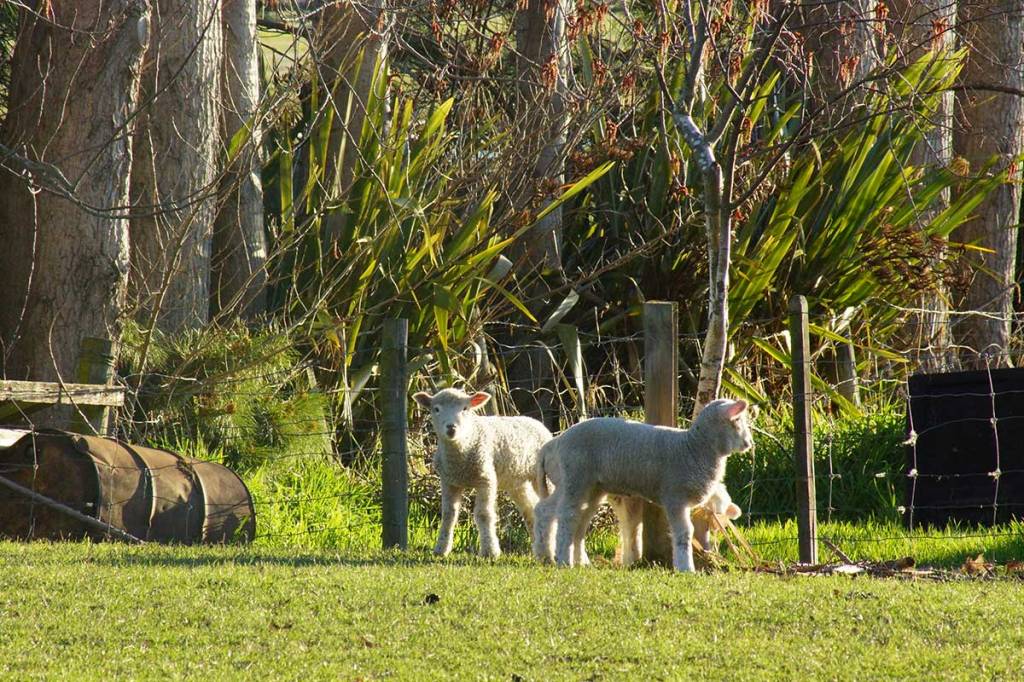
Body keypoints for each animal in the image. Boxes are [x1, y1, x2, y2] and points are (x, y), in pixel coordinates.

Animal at [413, 388, 551, 558]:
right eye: (436, 409)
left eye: (465, 408)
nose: (451, 428)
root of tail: (535, 422)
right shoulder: (448, 481)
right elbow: (448, 515)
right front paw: (441, 549)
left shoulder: (486, 478)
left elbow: (483, 514)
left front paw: (490, 551)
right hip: (517, 481)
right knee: (530, 509)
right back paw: (537, 547)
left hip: (543, 477)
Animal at [532, 398, 754, 572]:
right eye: (738, 421)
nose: (749, 444)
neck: (693, 448)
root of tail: (553, 445)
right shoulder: (674, 497)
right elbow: (684, 533)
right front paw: (685, 567)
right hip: (574, 478)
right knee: (564, 515)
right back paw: (561, 559)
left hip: (590, 488)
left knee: (563, 515)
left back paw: (560, 558)